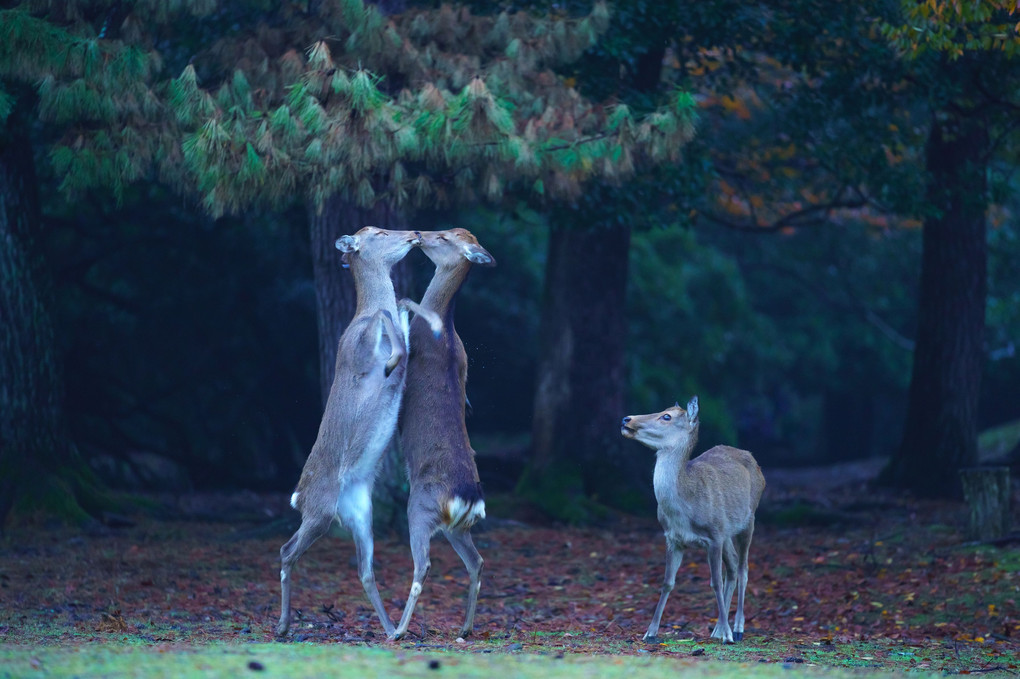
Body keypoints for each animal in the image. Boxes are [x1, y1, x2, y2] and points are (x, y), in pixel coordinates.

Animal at [277, 226, 440, 636]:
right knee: (287, 551)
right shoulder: (361, 350)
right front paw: (392, 355)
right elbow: (387, 319)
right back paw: (283, 626)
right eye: (379, 232)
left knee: (365, 570)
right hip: (319, 509)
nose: (415, 232)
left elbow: (403, 314)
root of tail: (297, 495)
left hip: (359, 512)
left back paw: (391, 630)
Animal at [389, 227, 497, 640]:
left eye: (446, 238)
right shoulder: (464, 357)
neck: (448, 333)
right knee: (477, 562)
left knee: (423, 566)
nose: (420, 233)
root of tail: (469, 499)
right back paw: (464, 629)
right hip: (457, 527)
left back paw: (398, 630)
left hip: (420, 509)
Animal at [620, 393, 767, 644]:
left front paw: (729, 635)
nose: (626, 419)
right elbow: (667, 582)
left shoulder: (714, 535)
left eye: (666, 416)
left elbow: (714, 582)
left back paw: (736, 629)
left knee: (743, 568)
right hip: (727, 531)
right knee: (733, 565)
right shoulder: (673, 537)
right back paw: (718, 629)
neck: (685, 509)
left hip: (749, 518)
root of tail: (753, 460)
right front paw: (650, 632)